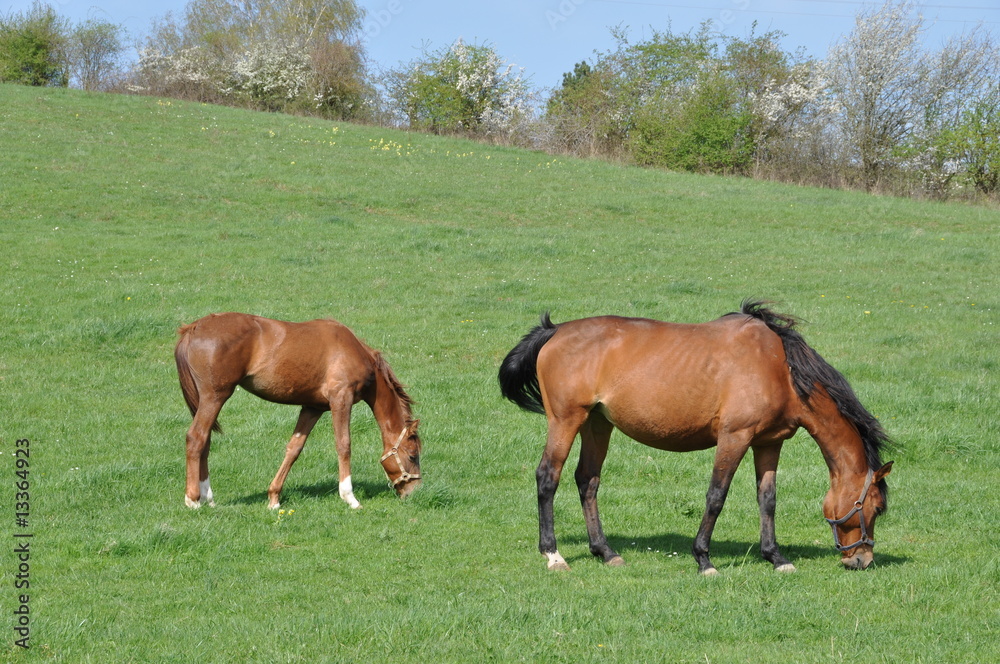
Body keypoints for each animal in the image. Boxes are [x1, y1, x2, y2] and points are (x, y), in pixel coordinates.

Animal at [175, 314, 422, 510]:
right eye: (413, 455)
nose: (415, 491)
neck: (354, 351)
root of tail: (193, 327)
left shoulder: (313, 408)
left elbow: (294, 449)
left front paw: (274, 498)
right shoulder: (341, 399)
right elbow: (344, 445)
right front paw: (349, 497)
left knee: (205, 441)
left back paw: (208, 497)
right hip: (215, 397)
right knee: (196, 438)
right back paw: (193, 499)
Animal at [496, 302, 896, 576]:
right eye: (876, 508)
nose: (863, 559)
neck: (779, 367)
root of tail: (555, 331)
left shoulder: (768, 442)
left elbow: (767, 500)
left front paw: (775, 557)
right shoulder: (734, 438)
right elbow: (716, 496)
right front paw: (704, 559)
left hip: (597, 424)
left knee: (587, 481)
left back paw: (605, 552)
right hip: (566, 421)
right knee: (548, 477)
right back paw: (553, 554)